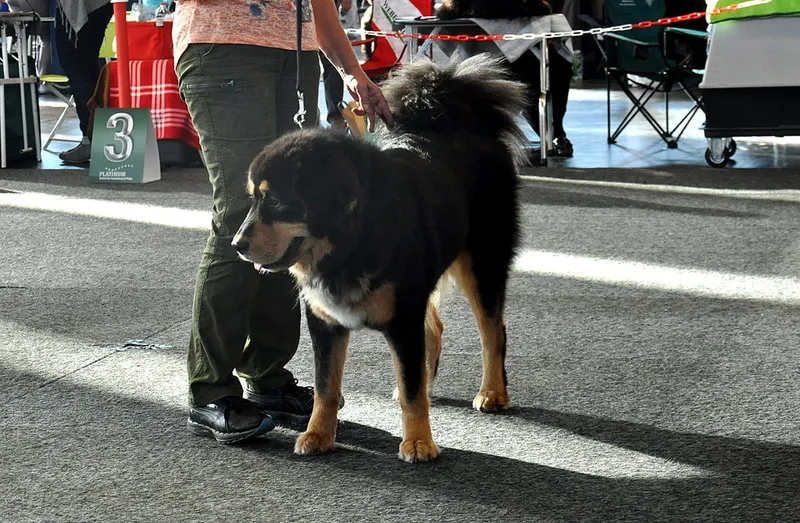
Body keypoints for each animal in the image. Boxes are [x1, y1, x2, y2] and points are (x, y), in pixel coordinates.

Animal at [232, 54, 528, 462]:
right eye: (253, 199)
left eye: (275, 201)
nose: (236, 244)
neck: (351, 240)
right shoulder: (325, 323)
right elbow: (326, 388)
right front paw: (318, 434)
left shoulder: (402, 318)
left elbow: (411, 390)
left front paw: (419, 442)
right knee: (434, 330)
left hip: (482, 265)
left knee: (493, 331)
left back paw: (493, 392)